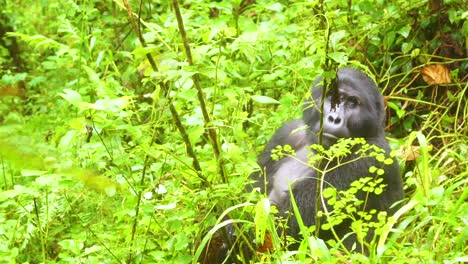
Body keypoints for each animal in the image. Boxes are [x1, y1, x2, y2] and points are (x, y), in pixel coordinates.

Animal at [254, 66, 404, 252]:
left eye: (352, 103)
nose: (334, 118)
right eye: (331, 98)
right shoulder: (286, 133)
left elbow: (284, 224)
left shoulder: (371, 156)